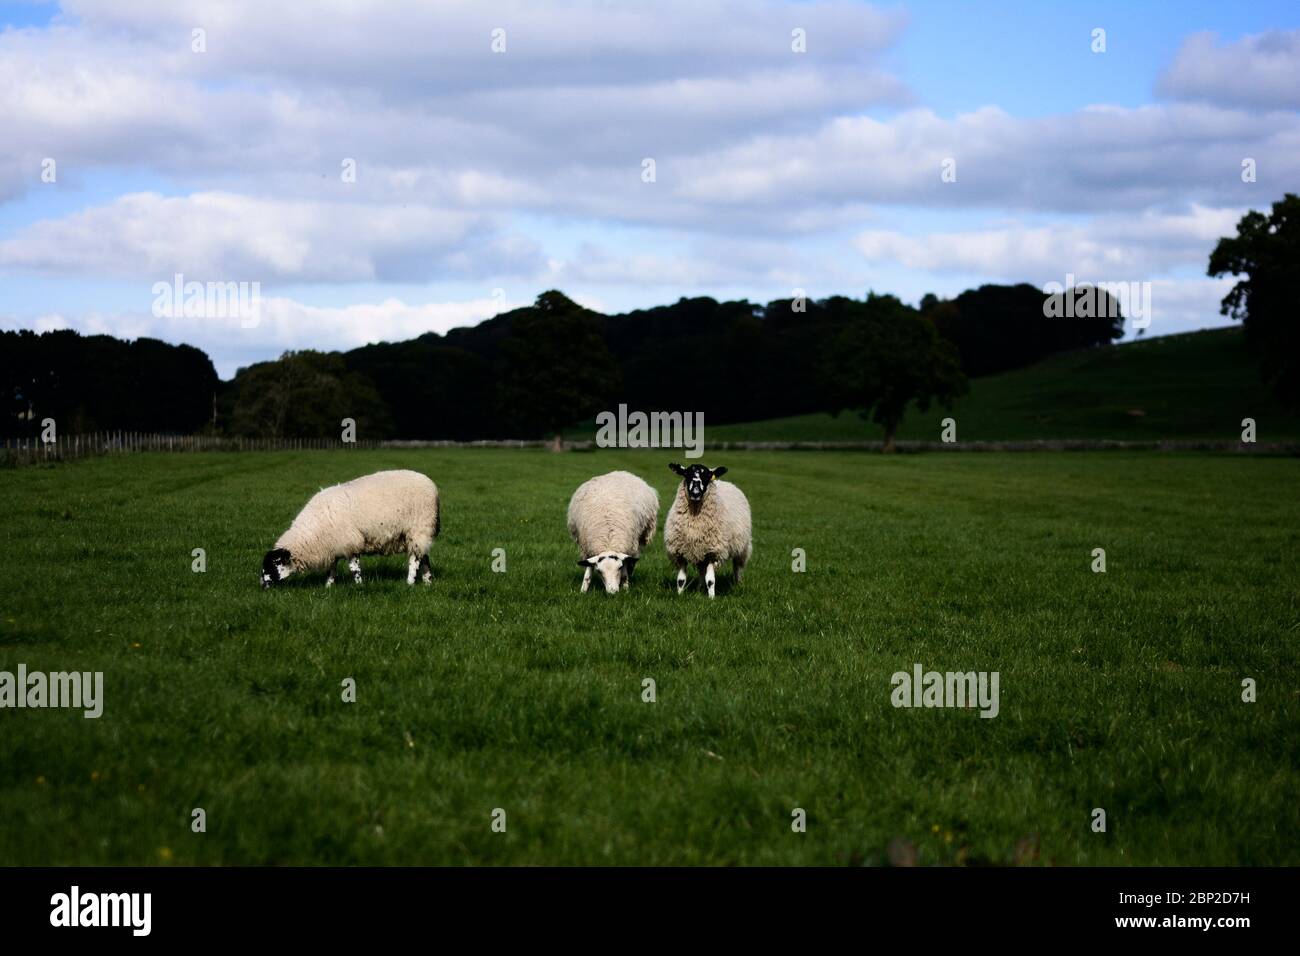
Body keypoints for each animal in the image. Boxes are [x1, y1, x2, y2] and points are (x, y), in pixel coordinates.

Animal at [258, 470, 441, 590]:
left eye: (272, 565)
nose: (262, 585)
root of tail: (431, 484)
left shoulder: (349, 541)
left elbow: (354, 568)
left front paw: (359, 585)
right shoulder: (333, 545)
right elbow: (331, 568)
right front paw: (328, 586)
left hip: (418, 527)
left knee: (415, 559)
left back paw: (410, 582)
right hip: (419, 534)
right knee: (424, 556)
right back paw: (428, 581)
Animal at [670, 463, 754, 598]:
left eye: (707, 476)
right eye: (687, 474)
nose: (695, 493)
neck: (695, 517)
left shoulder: (713, 552)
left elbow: (710, 580)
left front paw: (711, 598)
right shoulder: (681, 551)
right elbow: (681, 580)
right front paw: (679, 595)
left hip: (742, 547)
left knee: (737, 567)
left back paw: (738, 584)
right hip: (699, 550)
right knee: (701, 570)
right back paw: (699, 589)